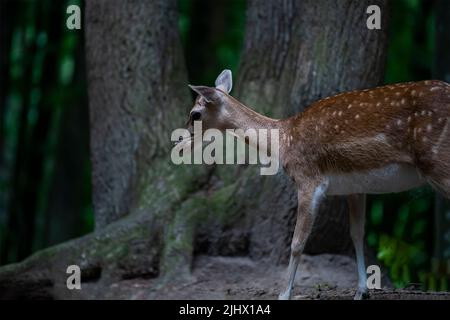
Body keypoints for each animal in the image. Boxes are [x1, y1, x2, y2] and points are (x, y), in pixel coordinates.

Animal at [178, 68, 450, 300]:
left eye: (195, 114)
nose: (179, 145)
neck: (283, 141)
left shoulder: (309, 179)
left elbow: (297, 243)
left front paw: (283, 295)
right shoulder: (355, 187)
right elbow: (357, 233)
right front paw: (361, 291)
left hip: (439, 162)